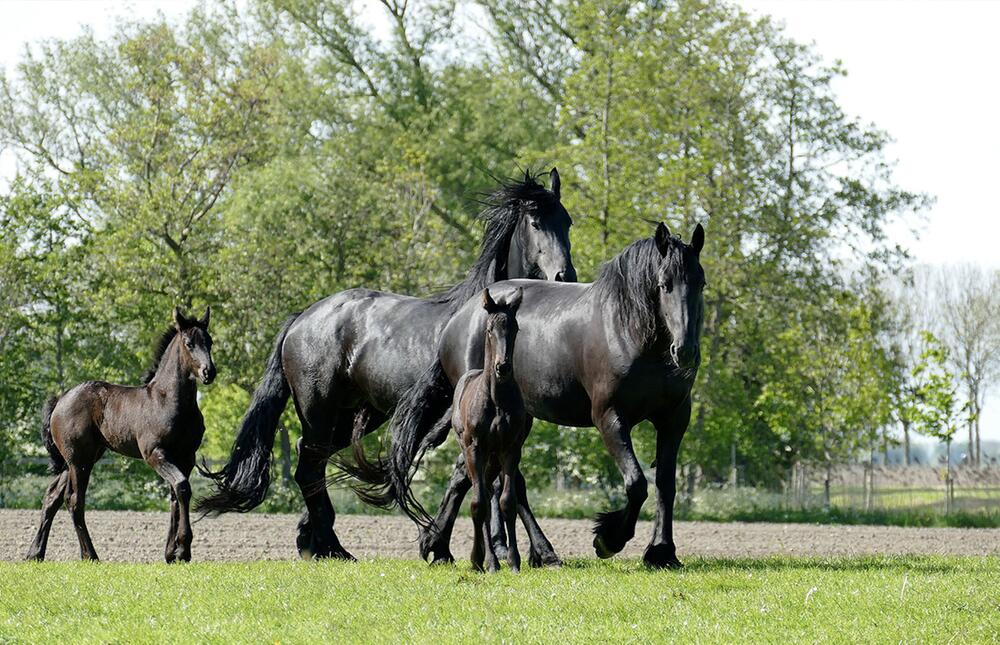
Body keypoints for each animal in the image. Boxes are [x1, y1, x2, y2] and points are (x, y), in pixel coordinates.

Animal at [24, 306, 215, 560]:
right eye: (189, 343)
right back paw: (90, 555)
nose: (209, 372)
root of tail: (60, 400)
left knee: (52, 497)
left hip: (80, 459)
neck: (168, 400)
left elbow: (176, 494)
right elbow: (182, 487)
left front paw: (171, 553)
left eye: (210, 342)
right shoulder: (155, 454)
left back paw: (35, 553)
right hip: (79, 461)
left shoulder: (186, 456)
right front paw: (183, 549)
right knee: (74, 501)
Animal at [454, 290, 532, 572]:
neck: (497, 400)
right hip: (475, 453)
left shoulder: (511, 449)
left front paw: (514, 561)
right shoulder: (475, 448)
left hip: (494, 458)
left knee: (490, 495)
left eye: (515, 328)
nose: (503, 367)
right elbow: (478, 504)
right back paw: (486, 560)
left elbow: (507, 502)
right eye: (489, 330)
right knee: (483, 497)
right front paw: (478, 560)